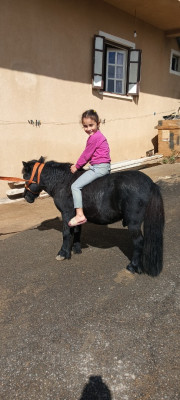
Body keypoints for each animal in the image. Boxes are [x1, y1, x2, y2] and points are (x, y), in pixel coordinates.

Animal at [22, 158, 165, 276]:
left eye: (25, 176)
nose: (26, 197)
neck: (63, 182)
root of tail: (150, 183)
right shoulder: (75, 215)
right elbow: (77, 231)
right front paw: (76, 249)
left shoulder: (67, 213)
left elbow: (66, 233)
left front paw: (63, 253)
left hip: (133, 222)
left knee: (139, 242)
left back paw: (132, 266)